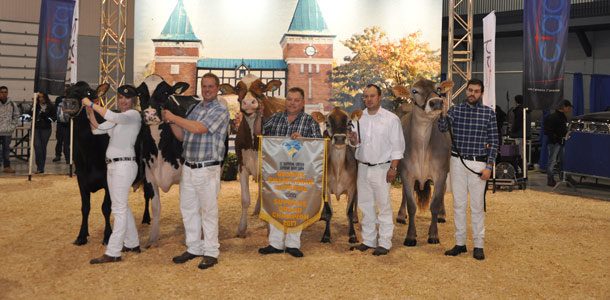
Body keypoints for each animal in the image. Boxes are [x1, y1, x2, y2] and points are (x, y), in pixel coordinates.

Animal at [218, 74, 284, 238]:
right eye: (237, 87)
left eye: (261, 86)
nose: (248, 103)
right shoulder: (242, 165)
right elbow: (245, 199)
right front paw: (242, 228)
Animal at [312, 108, 358, 244]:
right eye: (327, 123)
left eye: (349, 122)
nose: (339, 138)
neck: (338, 169)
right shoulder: (325, 188)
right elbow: (329, 212)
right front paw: (326, 235)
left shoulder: (352, 187)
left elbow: (349, 211)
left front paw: (352, 235)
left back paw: (355, 217)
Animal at [390, 78, 452, 247]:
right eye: (414, 91)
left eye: (438, 88)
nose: (436, 102)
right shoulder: (406, 173)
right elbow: (412, 205)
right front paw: (410, 236)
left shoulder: (441, 172)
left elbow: (435, 203)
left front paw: (433, 235)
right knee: (404, 194)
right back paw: (401, 216)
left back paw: (442, 215)